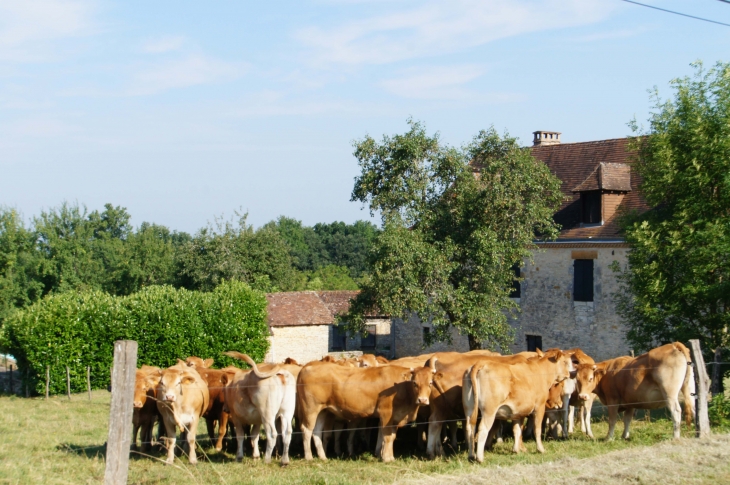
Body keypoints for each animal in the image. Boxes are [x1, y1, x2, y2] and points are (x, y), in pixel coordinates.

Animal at [294, 360, 432, 462]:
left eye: (430, 383)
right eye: (415, 383)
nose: (422, 400)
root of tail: (309, 365)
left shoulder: (395, 417)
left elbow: (391, 437)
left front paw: (388, 456)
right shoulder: (386, 413)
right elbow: (387, 437)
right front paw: (387, 458)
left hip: (322, 411)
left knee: (316, 431)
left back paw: (323, 457)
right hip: (310, 409)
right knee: (306, 430)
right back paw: (309, 457)